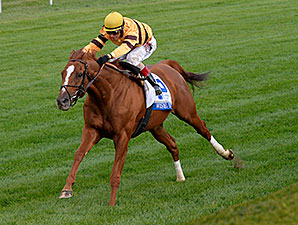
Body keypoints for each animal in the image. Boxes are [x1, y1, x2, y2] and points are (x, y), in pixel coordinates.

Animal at [55, 49, 233, 206]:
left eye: (79, 74)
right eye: (63, 73)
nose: (62, 101)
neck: (108, 95)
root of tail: (167, 64)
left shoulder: (122, 136)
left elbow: (115, 172)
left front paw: (111, 204)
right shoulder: (92, 130)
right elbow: (79, 154)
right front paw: (66, 189)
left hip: (187, 112)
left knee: (203, 129)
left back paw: (226, 153)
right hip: (155, 126)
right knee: (172, 144)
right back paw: (180, 177)